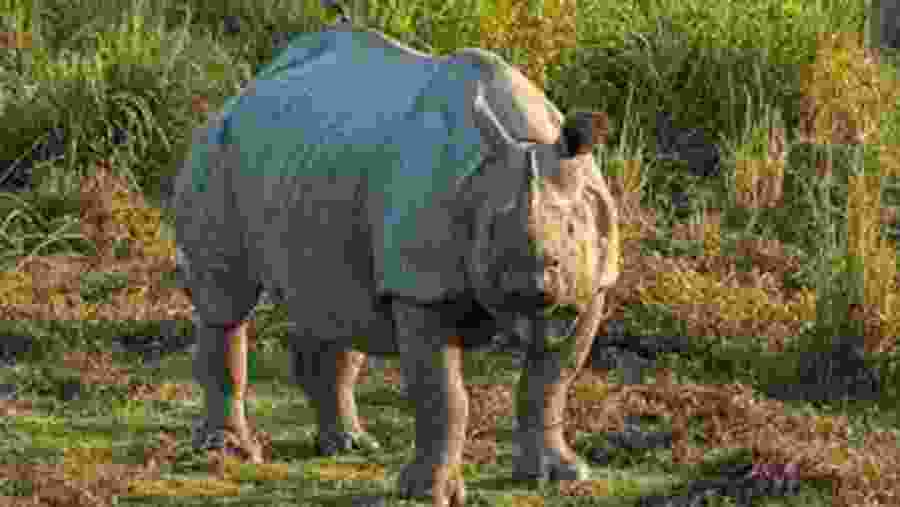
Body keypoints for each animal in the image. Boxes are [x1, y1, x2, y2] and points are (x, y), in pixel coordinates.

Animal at [171, 24, 620, 507]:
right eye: (489, 231)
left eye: (572, 230)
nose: (529, 285)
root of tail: (243, 91)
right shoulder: (420, 286)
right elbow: (443, 396)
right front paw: (428, 493)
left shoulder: (592, 283)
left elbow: (551, 383)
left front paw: (562, 476)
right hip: (217, 148)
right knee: (226, 301)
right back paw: (230, 453)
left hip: (313, 161)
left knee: (333, 300)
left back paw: (349, 445)